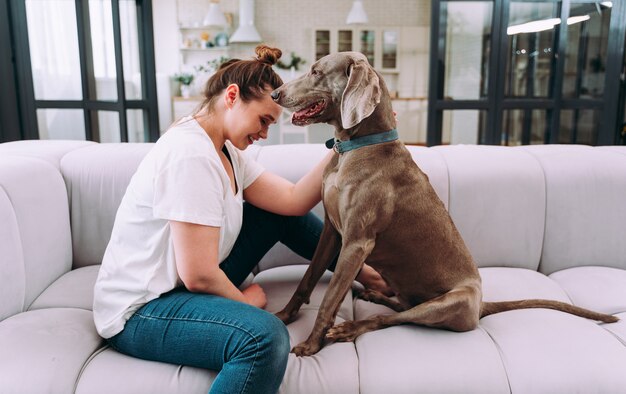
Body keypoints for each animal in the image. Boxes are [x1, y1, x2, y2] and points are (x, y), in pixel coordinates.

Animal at [266, 50, 616, 358]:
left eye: (316, 71)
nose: (275, 93)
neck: (355, 148)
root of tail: (481, 305)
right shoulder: (332, 230)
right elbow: (308, 279)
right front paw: (284, 315)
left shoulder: (356, 242)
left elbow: (328, 300)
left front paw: (311, 345)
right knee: (402, 307)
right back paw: (375, 294)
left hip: (451, 302)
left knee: (393, 319)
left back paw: (351, 326)